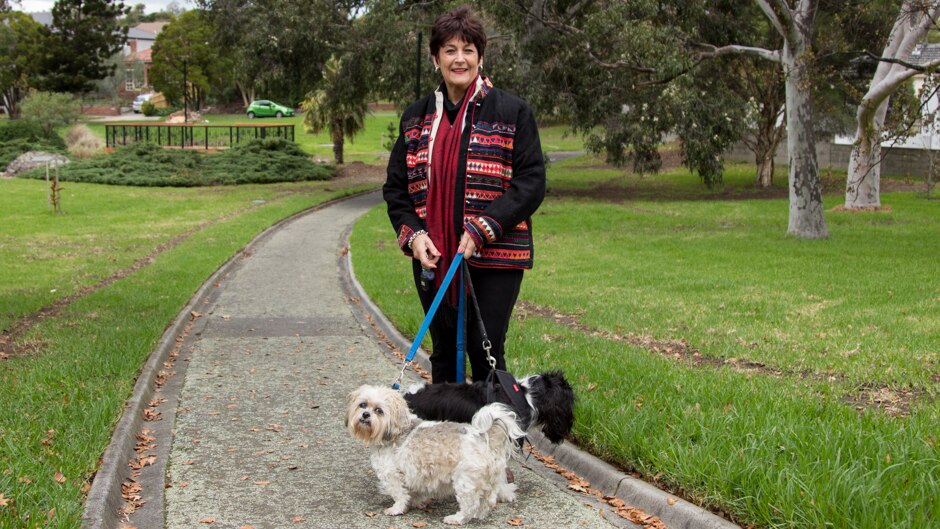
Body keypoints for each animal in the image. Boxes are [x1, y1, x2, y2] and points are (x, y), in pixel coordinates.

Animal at [346, 384, 524, 524]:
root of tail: (483, 437)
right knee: (487, 502)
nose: (365, 414)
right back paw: (479, 514)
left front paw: (397, 508)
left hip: (466, 481)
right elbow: (414, 491)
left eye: (379, 411)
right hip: (488, 482)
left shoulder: (392, 475)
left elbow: (400, 494)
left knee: (470, 504)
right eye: (362, 405)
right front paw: (418, 502)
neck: (396, 431)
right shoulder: (414, 474)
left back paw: (457, 518)